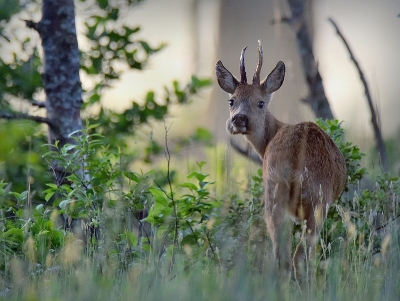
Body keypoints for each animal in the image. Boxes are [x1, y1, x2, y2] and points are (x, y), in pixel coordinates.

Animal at [216, 40, 346, 282]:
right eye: (231, 101)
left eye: (260, 102)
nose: (238, 119)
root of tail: (295, 155)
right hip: (316, 199)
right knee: (300, 256)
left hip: (274, 192)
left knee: (281, 256)